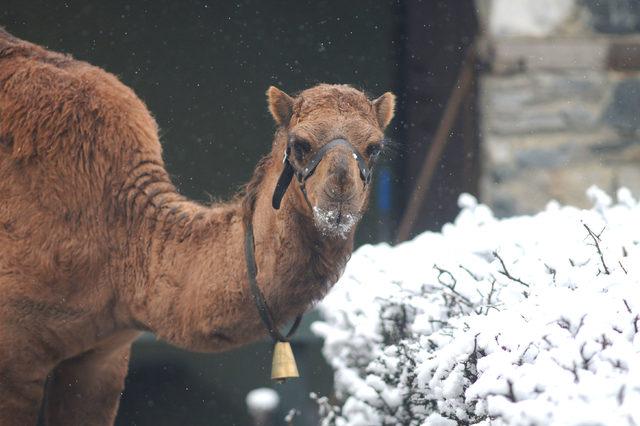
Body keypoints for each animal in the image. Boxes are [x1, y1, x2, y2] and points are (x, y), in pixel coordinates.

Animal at [0, 28, 396, 424]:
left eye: (374, 147)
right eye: (300, 144)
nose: (339, 193)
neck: (121, 230)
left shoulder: (102, 358)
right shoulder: (15, 360)